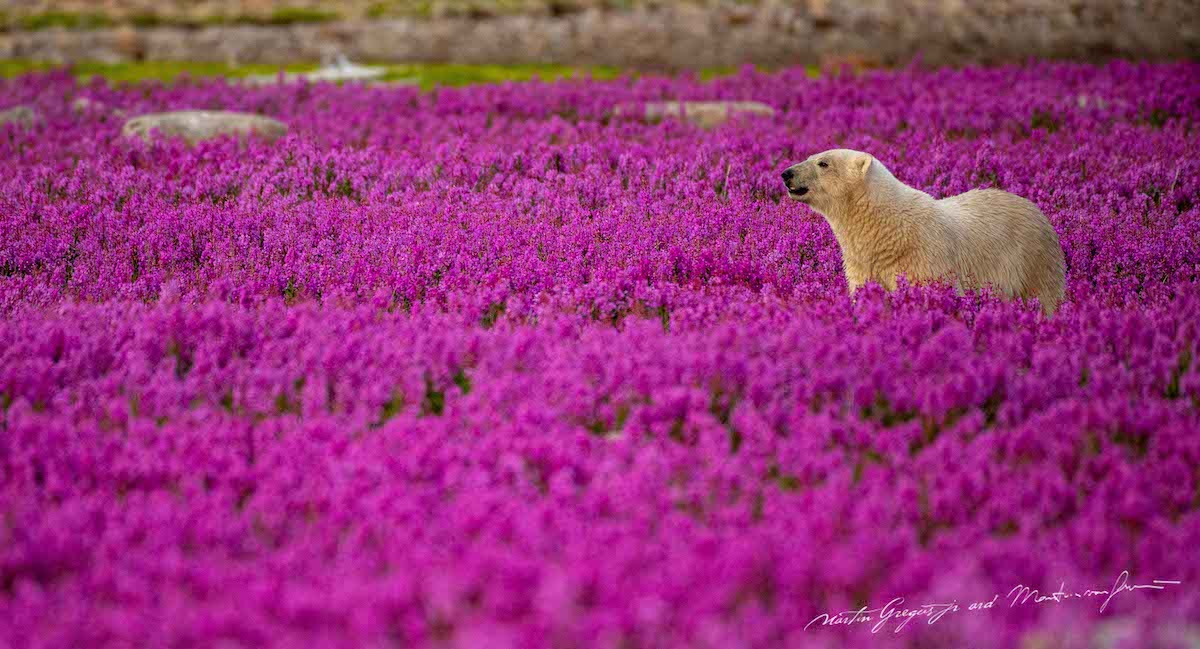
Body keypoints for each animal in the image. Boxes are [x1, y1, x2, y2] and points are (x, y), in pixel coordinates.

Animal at [782, 149, 1065, 316]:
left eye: (823, 162)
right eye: (811, 155)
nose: (786, 173)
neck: (887, 228)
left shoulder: (924, 257)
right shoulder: (863, 263)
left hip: (1034, 260)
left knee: (1046, 298)